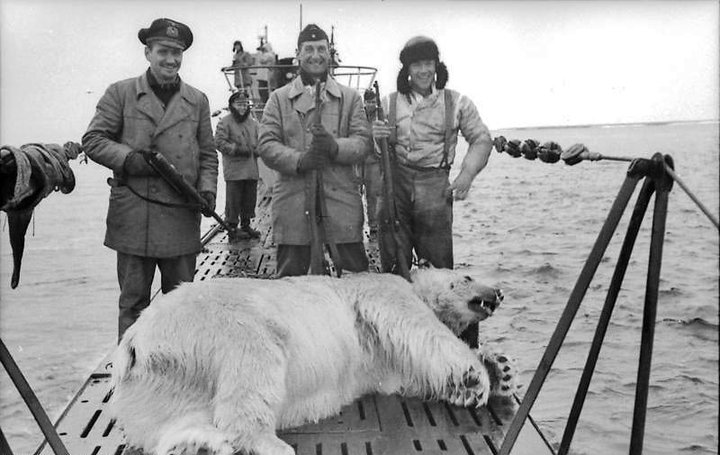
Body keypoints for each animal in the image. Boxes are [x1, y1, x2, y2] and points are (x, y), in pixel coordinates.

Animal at [111, 268, 516, 455]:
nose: (499, 291)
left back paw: (198, 446)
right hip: (220, 325)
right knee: (253, 363)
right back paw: (272, 446)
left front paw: (502, 370)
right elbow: (420, 329)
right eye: (467, 276)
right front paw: (476, 377)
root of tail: (136, 341)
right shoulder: (382, 291)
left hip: (161, 379)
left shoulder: (384, 361)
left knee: (170, 420)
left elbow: (409, 377)